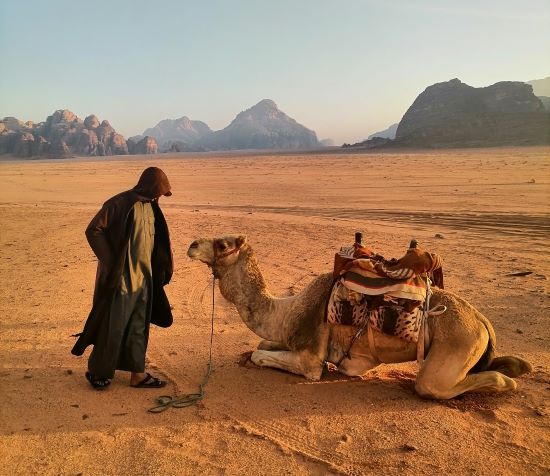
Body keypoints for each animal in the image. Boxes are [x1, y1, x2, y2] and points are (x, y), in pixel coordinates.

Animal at [188, 234, 532, 398]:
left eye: (222, 243)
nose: (191, 245)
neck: (286, 312)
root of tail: (482, 321)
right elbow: (260, 346)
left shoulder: (310, 359)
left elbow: (265, 356)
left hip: (457, 341)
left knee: (433, 385)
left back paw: (505, 381)